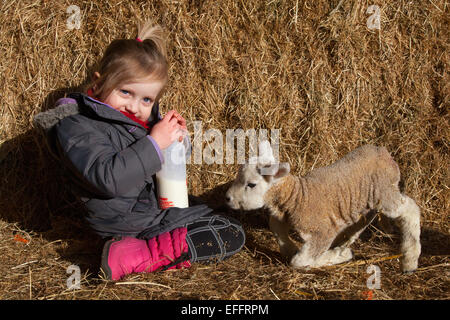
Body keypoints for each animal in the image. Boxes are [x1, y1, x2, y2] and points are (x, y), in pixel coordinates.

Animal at [227, 141, 420, 272]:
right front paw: (290, 249)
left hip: (385, 191)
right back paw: (346, 240)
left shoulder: (322, 231)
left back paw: (410, 260)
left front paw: (338, 256)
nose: (228, 198)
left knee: (411, 209)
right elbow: (277, 229)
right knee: (365, 217)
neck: (298, 196)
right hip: (369, 199)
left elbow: (300, 261)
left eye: (251, 184)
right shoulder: (282, 216)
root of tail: (384, 152)